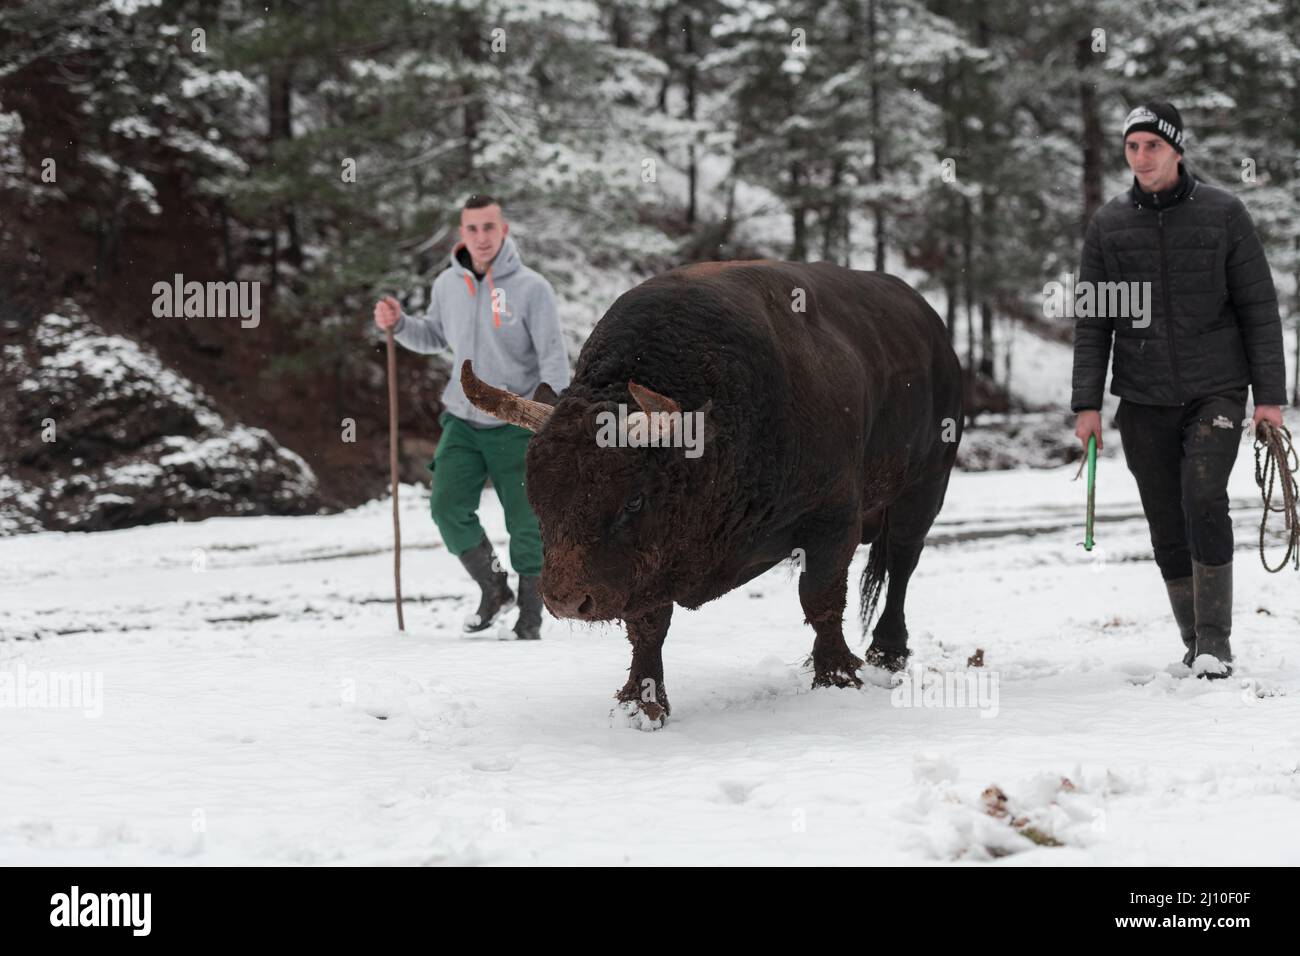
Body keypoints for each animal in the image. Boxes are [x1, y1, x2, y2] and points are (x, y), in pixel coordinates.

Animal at [461, 259, 963, 730]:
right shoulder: (652, 563)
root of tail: (934, 330)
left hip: (924, 489)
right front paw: (642, 705)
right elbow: (648, 626)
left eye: (632, 500)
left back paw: (887, 652)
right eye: (536, 496)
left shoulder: (832, 519)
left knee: (902, 563)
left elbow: (820, 599)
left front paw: (836, 677)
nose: (567, 600)